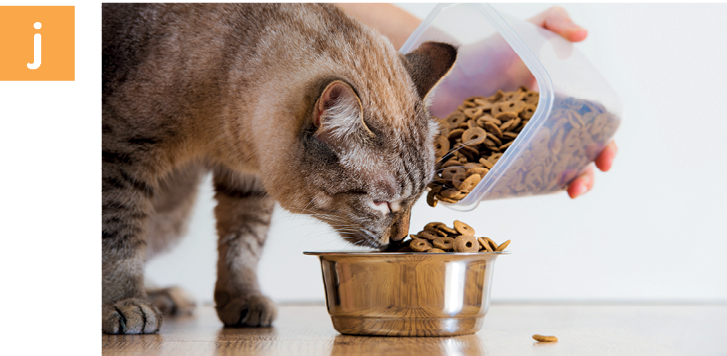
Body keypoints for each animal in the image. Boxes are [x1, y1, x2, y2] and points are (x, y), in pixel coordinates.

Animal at [102, 2, 456, 336]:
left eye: (416, 200)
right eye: (379, 203)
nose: (400, 239)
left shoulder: (246, 181)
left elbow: (242, 245)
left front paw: (243, 299)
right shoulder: (122, 153)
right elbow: (119, 238)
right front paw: (124, 302)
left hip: (173, 213)